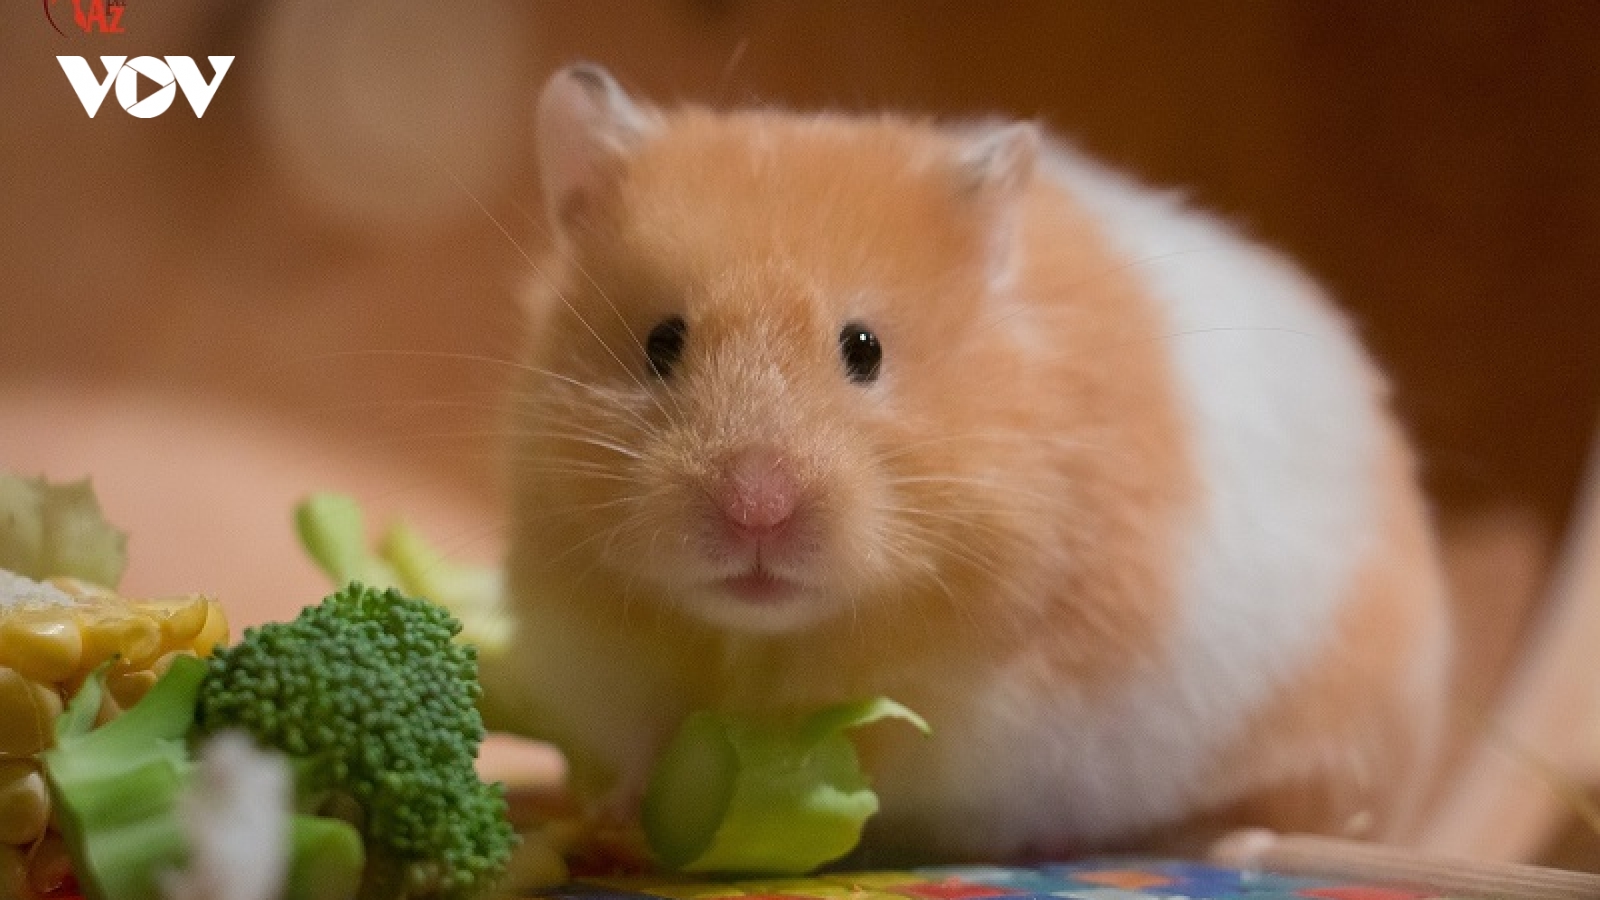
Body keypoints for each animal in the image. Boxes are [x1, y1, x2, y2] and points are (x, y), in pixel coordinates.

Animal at [497, 63, 1451, 863]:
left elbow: (897, 747)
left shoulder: (1012, 712)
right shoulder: (605, 657)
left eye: (864, 349)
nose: (756, 510)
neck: (767, 640)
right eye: (661, 343)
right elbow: (646, 738)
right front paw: (627, 810)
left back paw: (1230, 841)